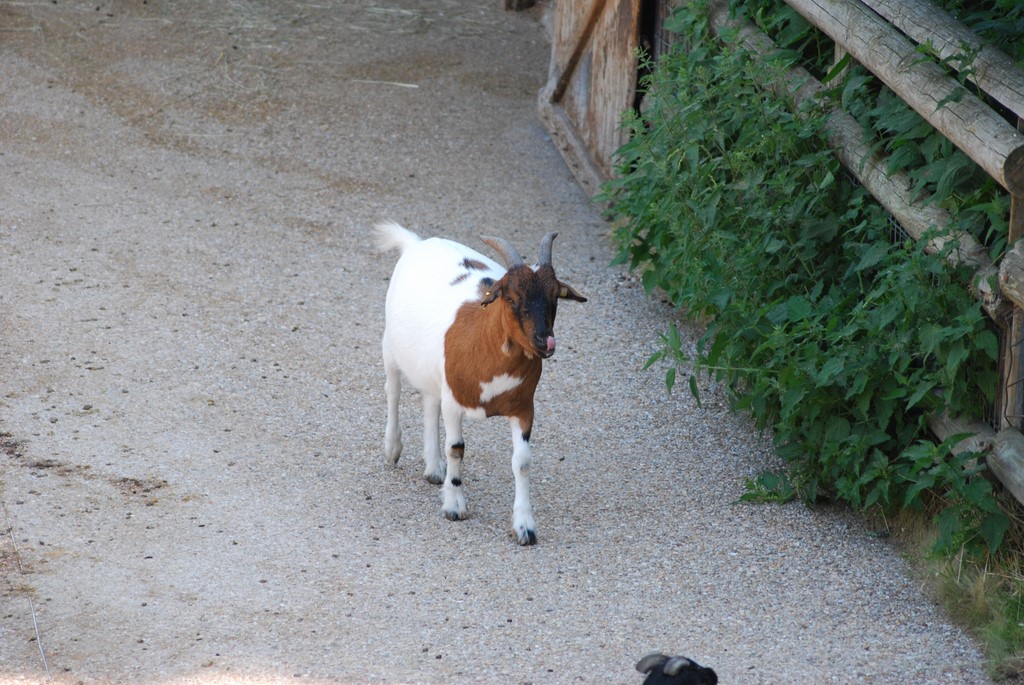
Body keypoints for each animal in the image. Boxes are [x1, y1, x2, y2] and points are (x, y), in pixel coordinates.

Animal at [376, 221, 586, 545]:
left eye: (555, 298)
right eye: (510, 298)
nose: (545, 342)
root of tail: (416, 243)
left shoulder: (524, 408)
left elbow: (522, 462)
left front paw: (525, 526)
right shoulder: (454, 401)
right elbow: (456, 448)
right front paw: (454, 506)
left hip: (433, 369)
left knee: (429, 401)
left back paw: (434, 469)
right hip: (391, 345)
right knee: (393, 390)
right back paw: (393, 447)